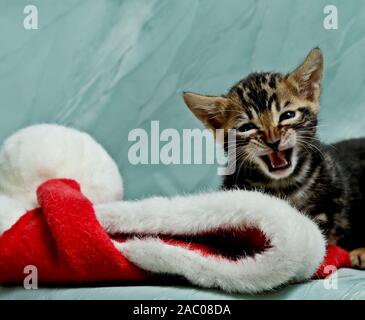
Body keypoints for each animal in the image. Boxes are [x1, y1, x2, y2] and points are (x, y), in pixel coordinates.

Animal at [183, 47, 364, 268]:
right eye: (247, 127)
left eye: (287, 115)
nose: (273, 141)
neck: (282, 185)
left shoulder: (332, 198)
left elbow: (321, 229)